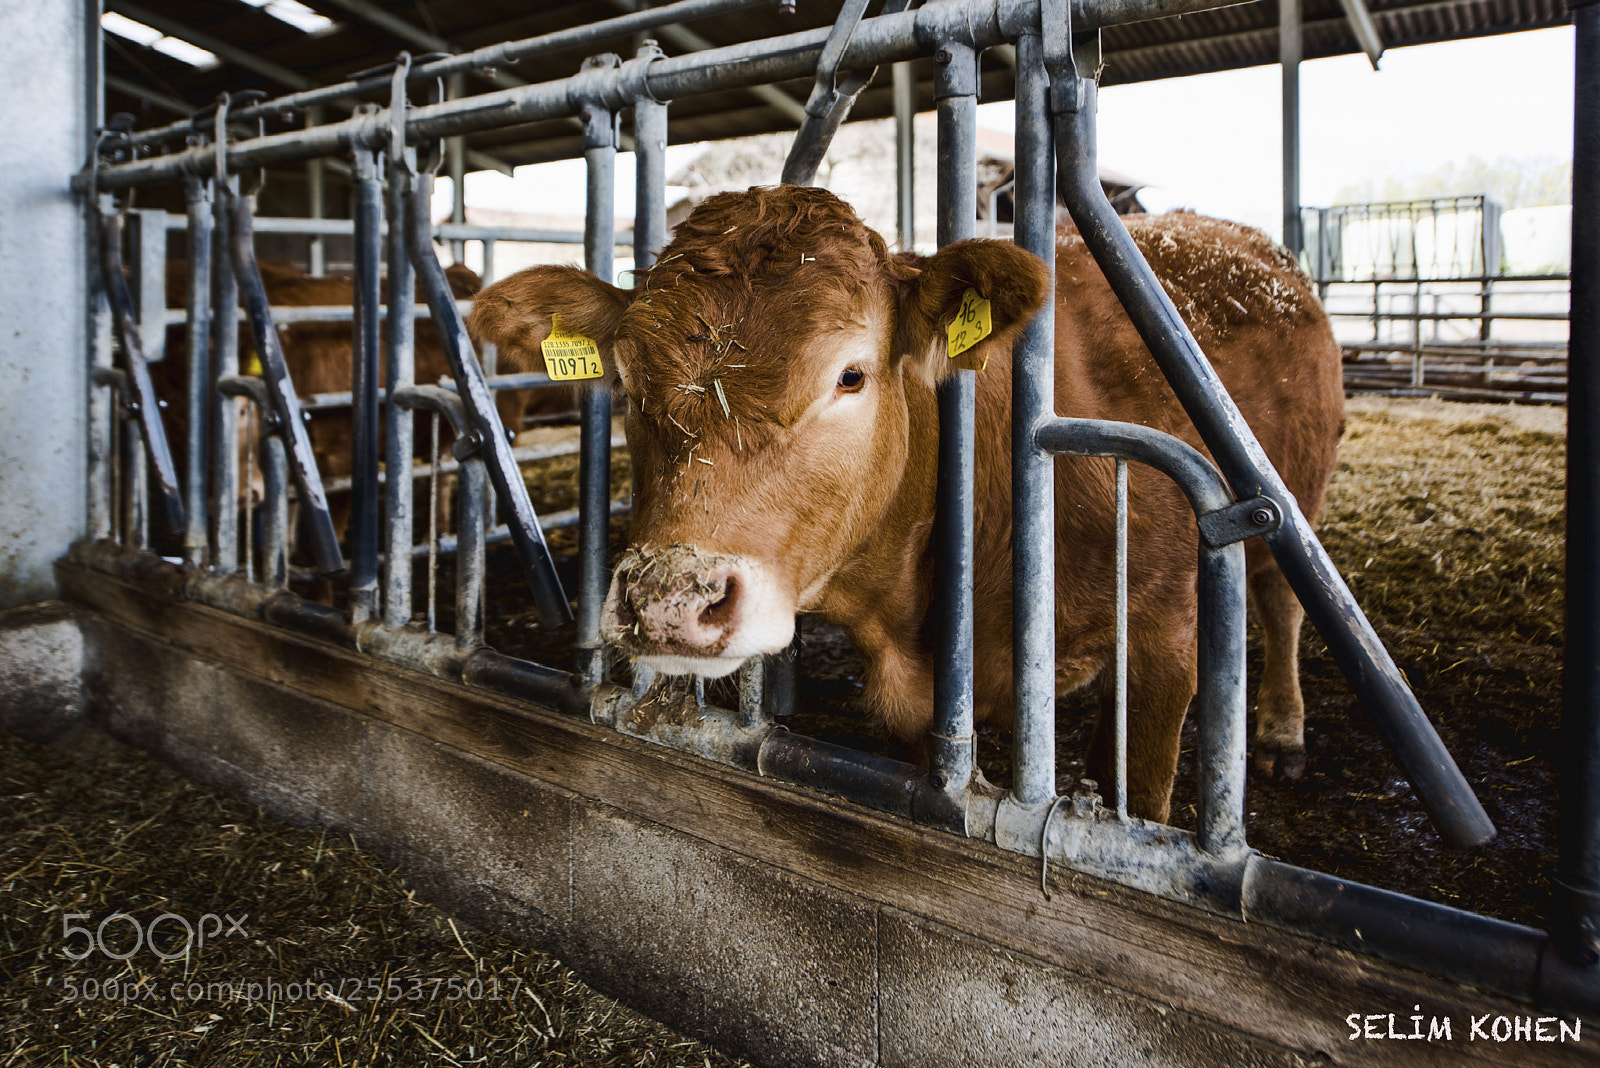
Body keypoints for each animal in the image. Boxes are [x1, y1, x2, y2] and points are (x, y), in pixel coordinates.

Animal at [467, 186, 1344, 823]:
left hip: (1292, 497)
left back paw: (1282, 733)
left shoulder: (1166, 641)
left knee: (1282, 598)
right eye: (626, 379)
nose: (668, 601)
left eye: (851, 375)